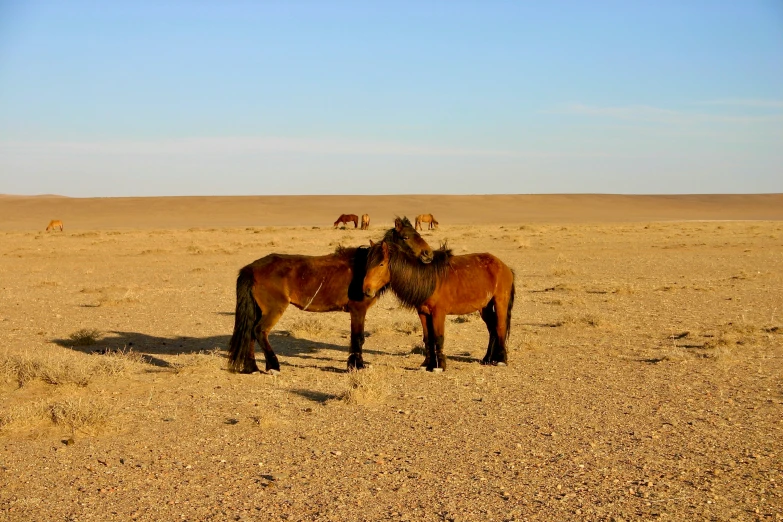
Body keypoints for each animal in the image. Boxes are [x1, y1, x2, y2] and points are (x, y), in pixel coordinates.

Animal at [362, 240, 516, 370]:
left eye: (381, 264)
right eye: (367, 264)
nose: (367, 290)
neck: (426, 278)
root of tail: (505, 267)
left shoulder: (438, 313)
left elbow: (438, 337)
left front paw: (439, 365)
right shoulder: (423, 313)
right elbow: (428, 338)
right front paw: (427, 364)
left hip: (500, 302)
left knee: (500, 327)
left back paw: (501, 360)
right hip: (485, 307)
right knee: (492, 330)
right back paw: (487, 359)